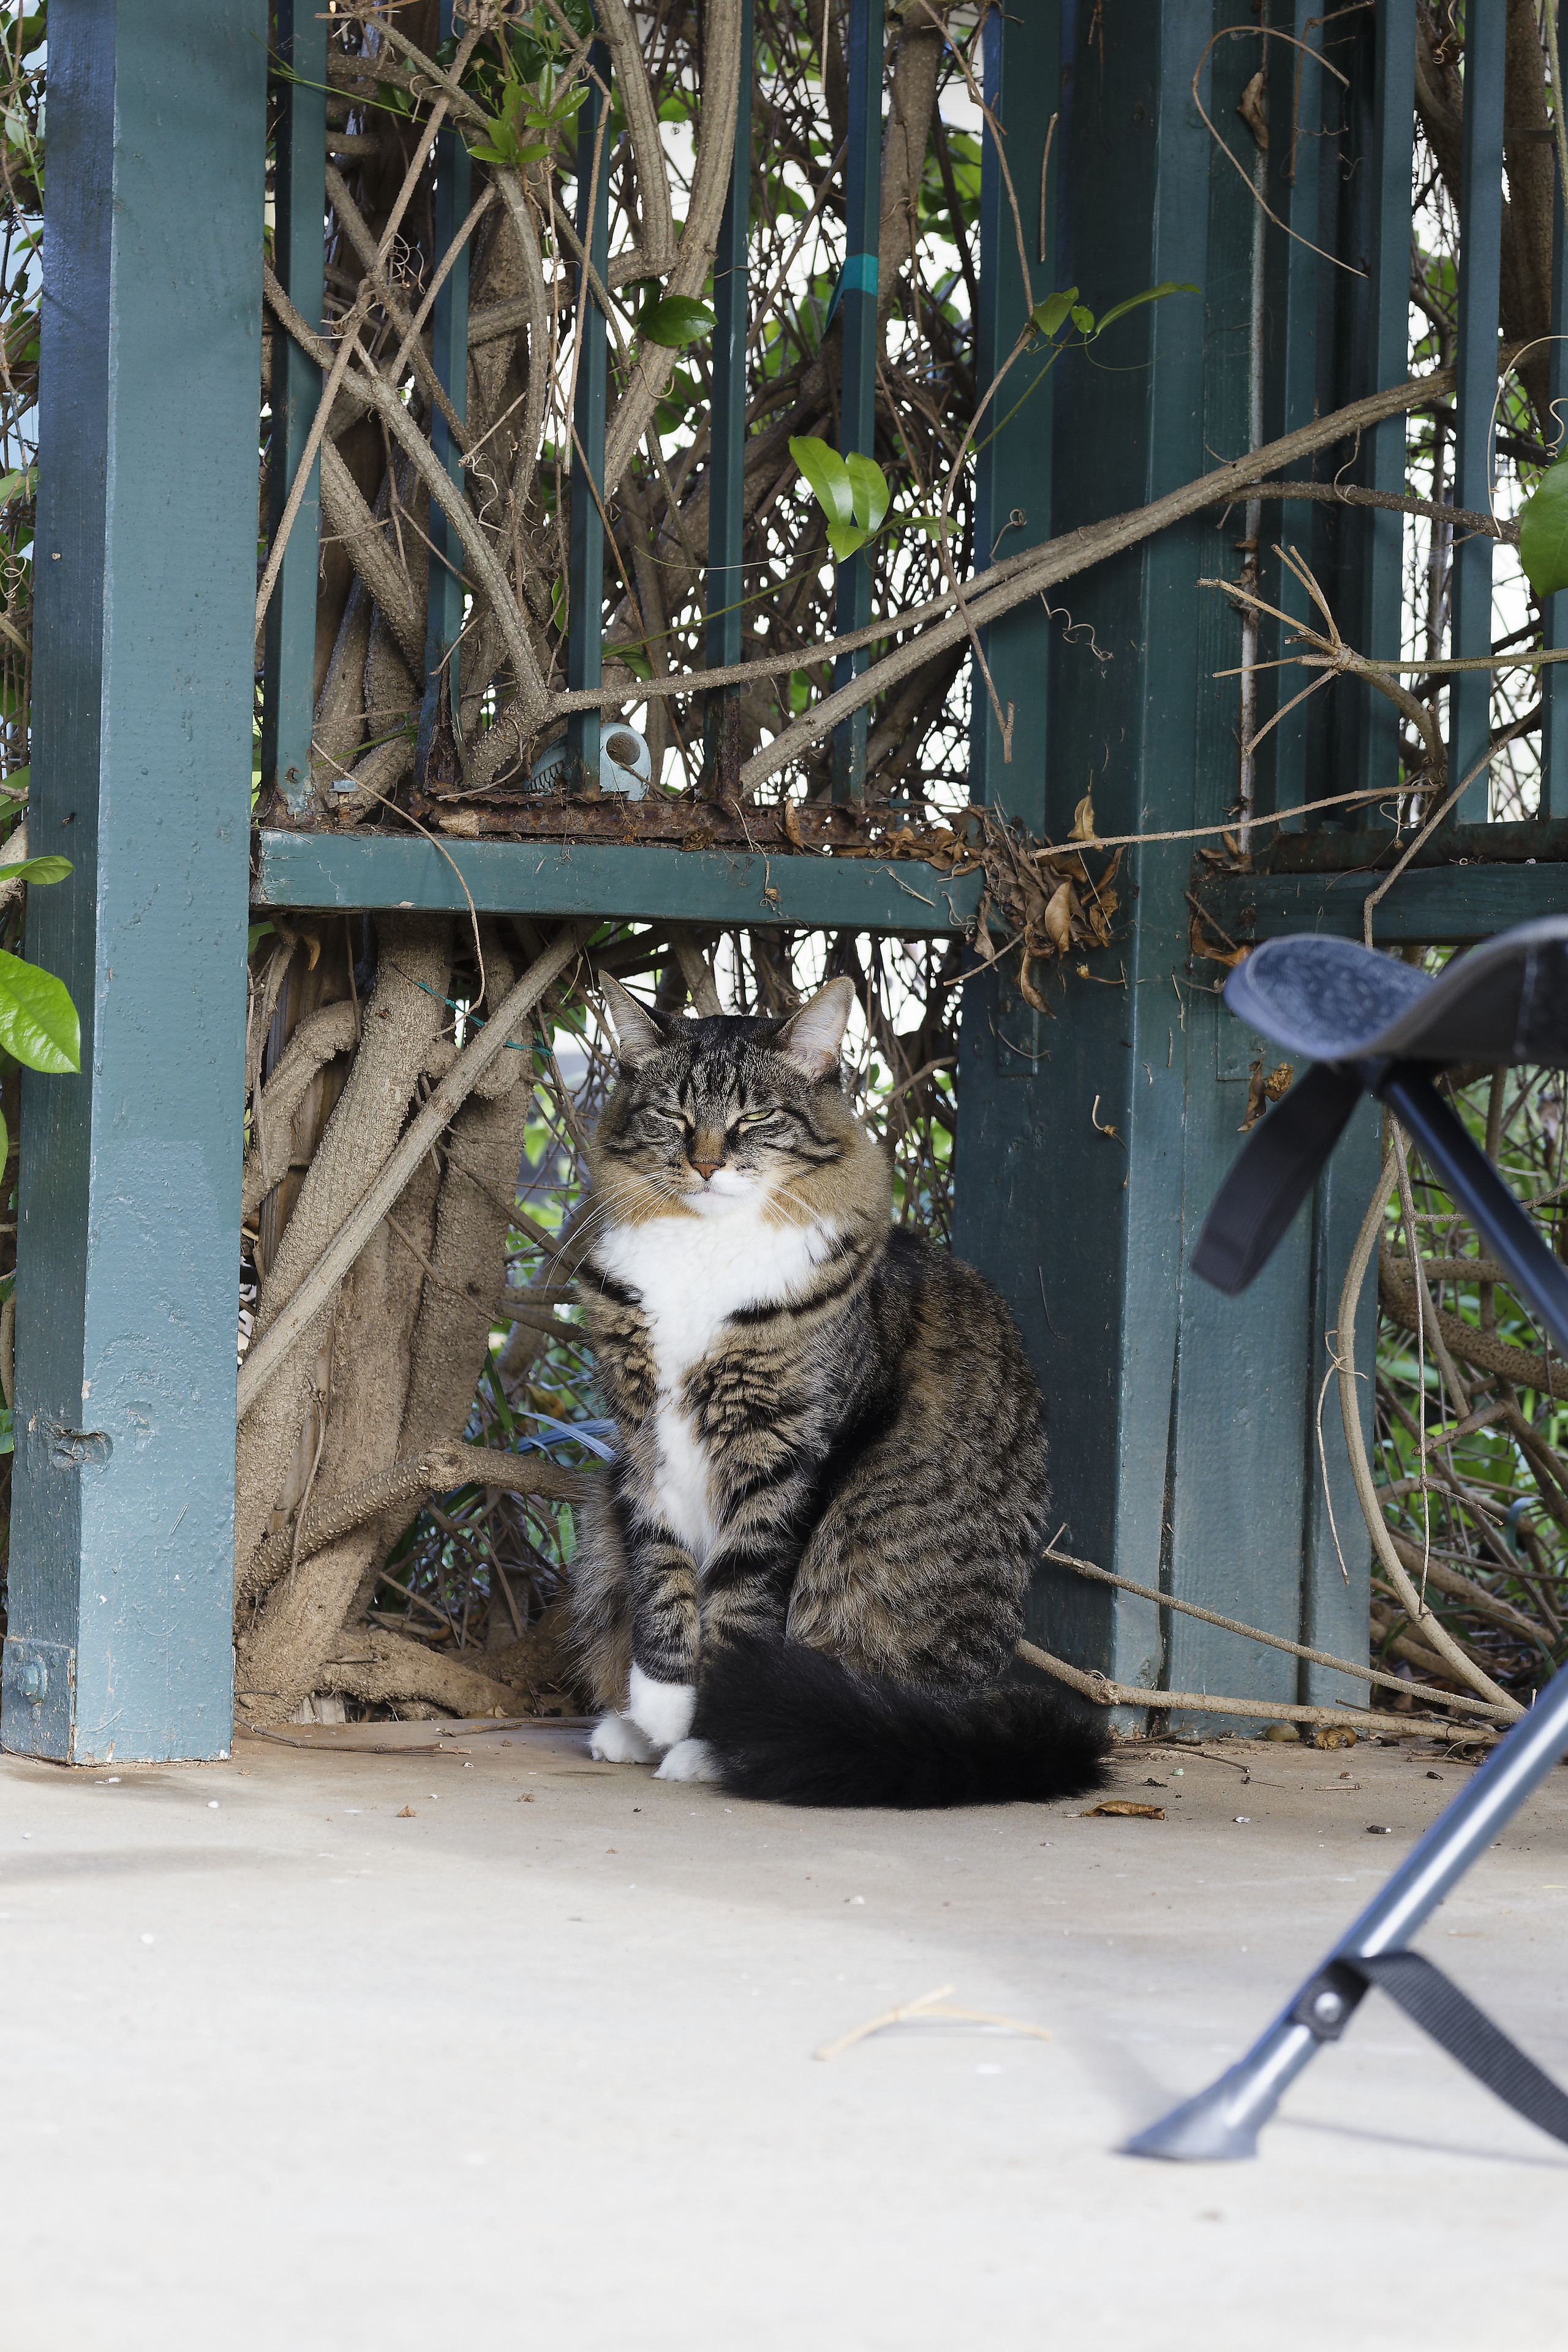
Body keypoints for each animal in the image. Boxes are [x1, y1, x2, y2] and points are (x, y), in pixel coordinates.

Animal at [564, 971, 1110, 1809]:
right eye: (672, 1116)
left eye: (755, 1117)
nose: (706, 1165)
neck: (703, 1248)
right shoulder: (640, 1448)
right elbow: (664, 1578)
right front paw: (662, 1707)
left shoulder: (785, 1455)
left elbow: (742, 1598)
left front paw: (715, 1734)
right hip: (600, 1522)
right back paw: (630, 1731)